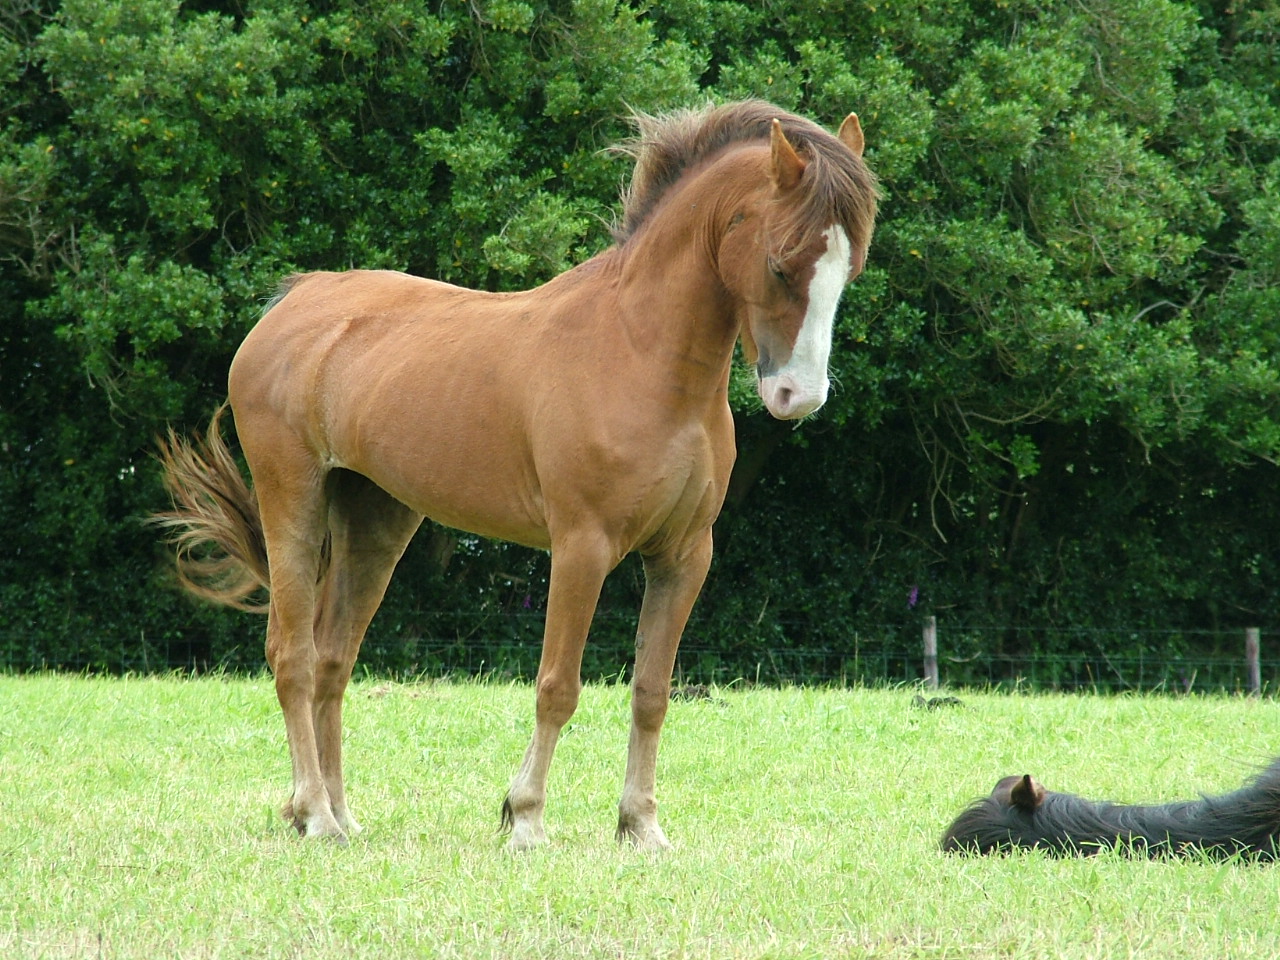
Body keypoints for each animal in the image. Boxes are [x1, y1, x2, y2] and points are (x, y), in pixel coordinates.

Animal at [154, 99, 878, 850]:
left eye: (849, 269)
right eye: (780, 265)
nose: (799, 397)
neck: (640, 354)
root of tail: (294, 303)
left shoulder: (684, 557)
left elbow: (651, 693)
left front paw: (640, 826)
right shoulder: (582, 548)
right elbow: (557, 686)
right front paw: (524, 817)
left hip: (376, 525)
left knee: (332, 661)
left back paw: (335, 812)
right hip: (291, 503)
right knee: (292, 656)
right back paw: (317, 814)